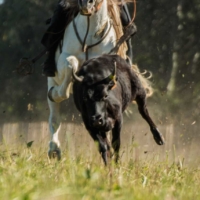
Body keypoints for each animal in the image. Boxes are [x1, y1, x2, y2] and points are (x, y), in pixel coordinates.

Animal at [46, 0, 127, 159]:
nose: (86, 4)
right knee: (54, 118)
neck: (90, 33)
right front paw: (57, 93)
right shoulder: (64, 59)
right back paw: (54, 149)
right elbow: (71, 63)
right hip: (52, 80)